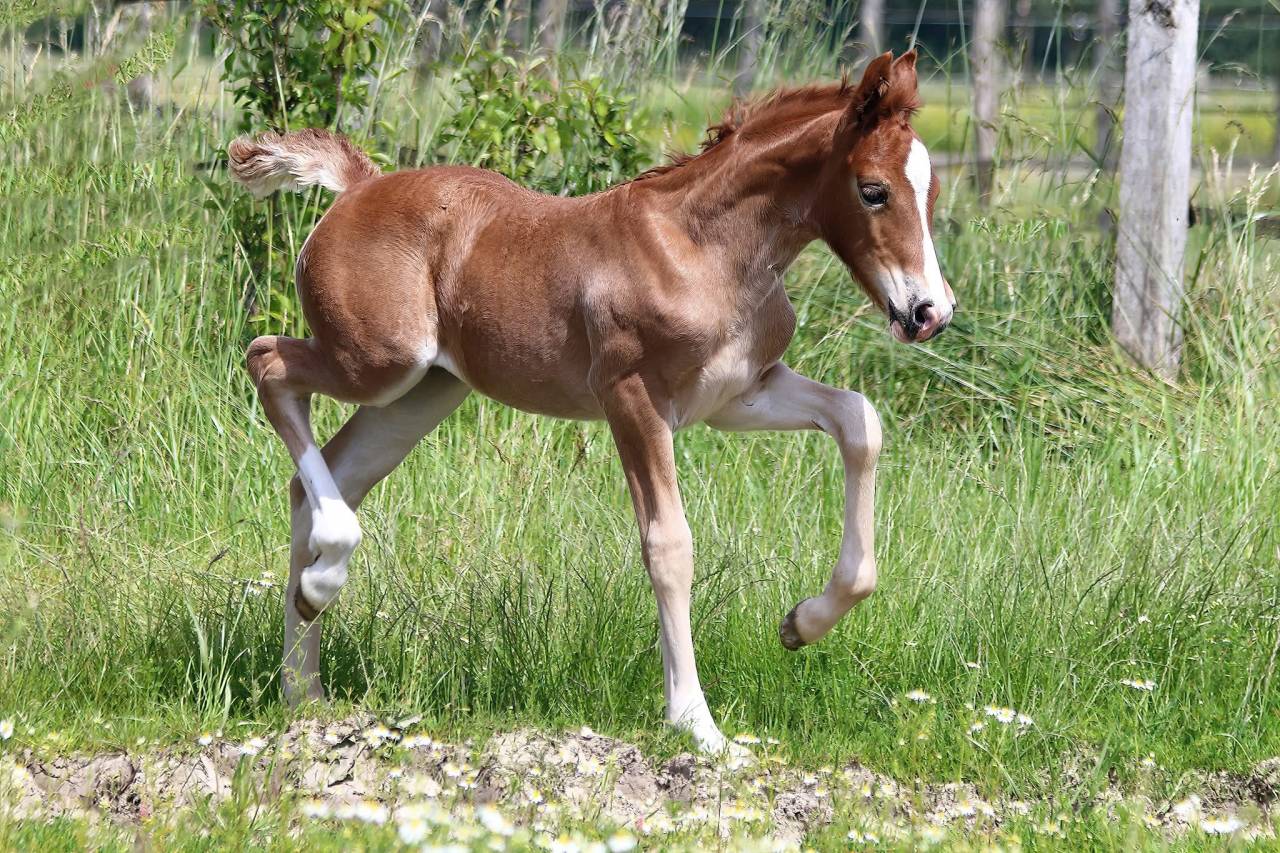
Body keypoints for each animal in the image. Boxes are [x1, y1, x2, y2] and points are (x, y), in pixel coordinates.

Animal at [228, 49, 953, 754]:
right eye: (873, 190)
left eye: (932, 192)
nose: (929, 312)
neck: (702, 248)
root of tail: (359, 185)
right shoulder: (632, 397)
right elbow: (669, 544)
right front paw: (697, 724)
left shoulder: (739, 392)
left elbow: (859, 420)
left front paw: (802, 623)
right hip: (380, 360)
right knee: (268, 362)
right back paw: (321, 584)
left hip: (422, 392)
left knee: (323, 477)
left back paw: (303, 683)